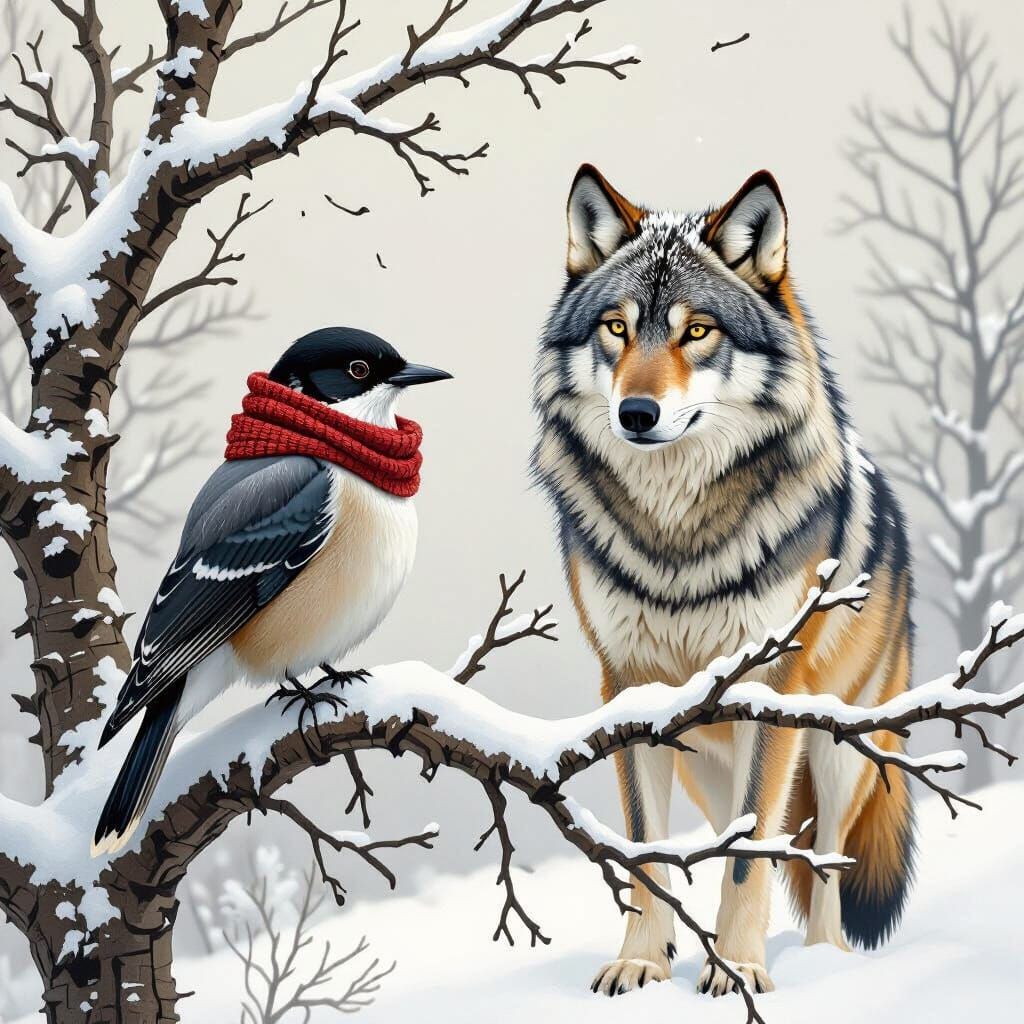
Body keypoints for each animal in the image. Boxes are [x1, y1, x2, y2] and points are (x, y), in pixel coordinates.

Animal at [532, 166, 915, 997]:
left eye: (697, 331)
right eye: (617, 328)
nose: (636, 413)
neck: (676, 534)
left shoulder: (768, 692)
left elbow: (748, 863)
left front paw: (739, 968)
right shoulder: (629, 691)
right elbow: (648, 855)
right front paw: (642, 962)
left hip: (836, 747)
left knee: (822, 859)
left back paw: (823, 961)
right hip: (706, 760)